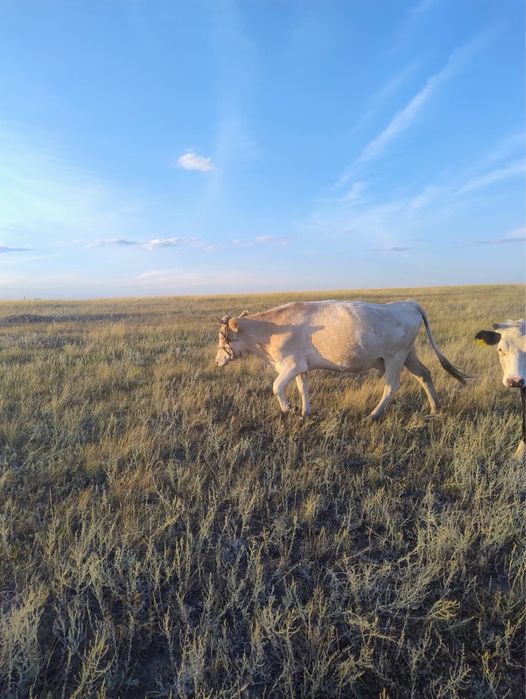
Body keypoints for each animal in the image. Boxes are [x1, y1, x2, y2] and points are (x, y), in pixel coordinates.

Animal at [215, 300, 468, 419]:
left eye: (224, 337)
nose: (217, 361)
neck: (272, 329)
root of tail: (407, 303)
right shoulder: (302, 367)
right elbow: (303, 388)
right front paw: (304, 412)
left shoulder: (291, 365)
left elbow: (277, 387)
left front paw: (289, 409)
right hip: (409, 355)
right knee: (424, 374)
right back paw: (435, 408)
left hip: (395, 357)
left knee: (391, 386)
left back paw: (373, 415)